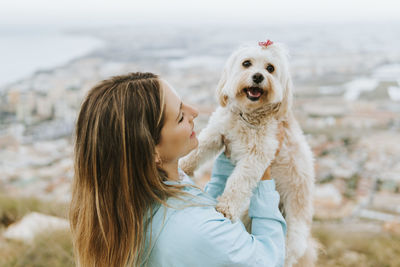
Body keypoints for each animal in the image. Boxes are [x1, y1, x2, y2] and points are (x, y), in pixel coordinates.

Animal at [180, 40, 318, 266]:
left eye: (270, 68)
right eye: (247, 63)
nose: (258, 76)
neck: (248, 116)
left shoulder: (258, 155)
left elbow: (239, 182)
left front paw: (226, 207)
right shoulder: (219, 131)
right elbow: (200, 147)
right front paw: (183, 166)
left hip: (292, 237)